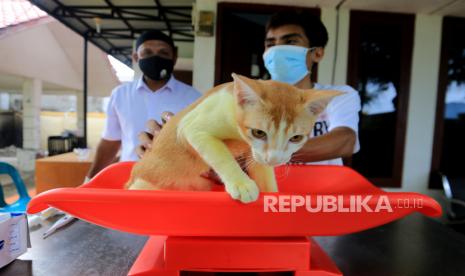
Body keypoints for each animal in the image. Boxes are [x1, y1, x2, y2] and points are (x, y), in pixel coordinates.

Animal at [124, 73, 340, 203]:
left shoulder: (258, 155)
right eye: (259, 133)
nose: (274, 159)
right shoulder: (192, 127)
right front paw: (241, 183)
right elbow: (221, 155)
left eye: (296, 138)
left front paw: (272, 197)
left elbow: (264, 172)